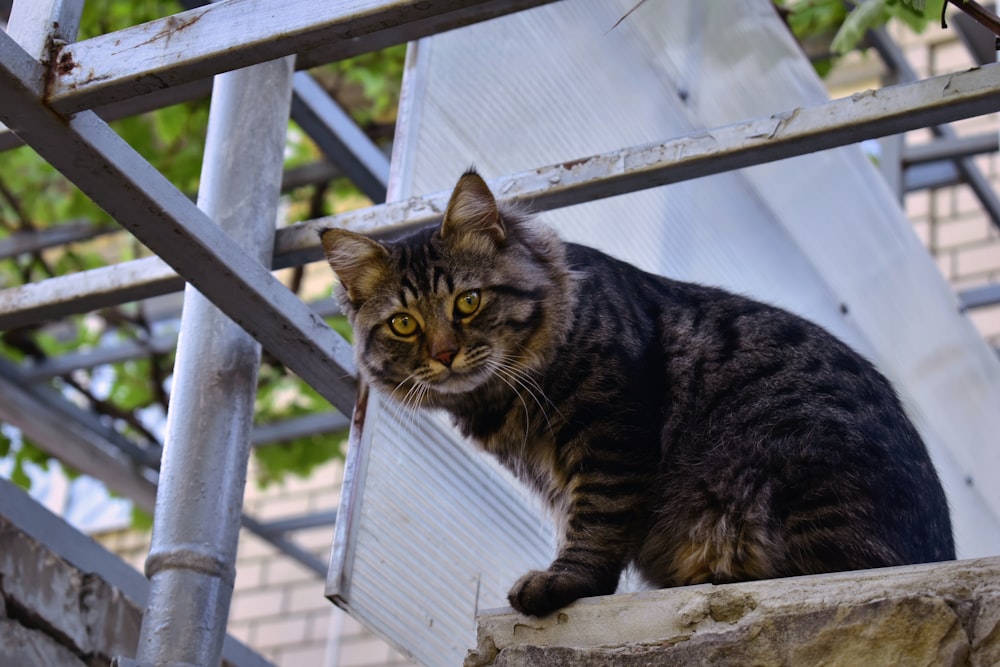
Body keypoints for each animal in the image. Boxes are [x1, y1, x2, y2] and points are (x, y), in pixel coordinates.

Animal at [318, 170, 952, 620]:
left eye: (467, 303)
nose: (445, 354)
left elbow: (596, 522)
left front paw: (563, 583)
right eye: (404, 324)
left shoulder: (611, 432)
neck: (504, 395)